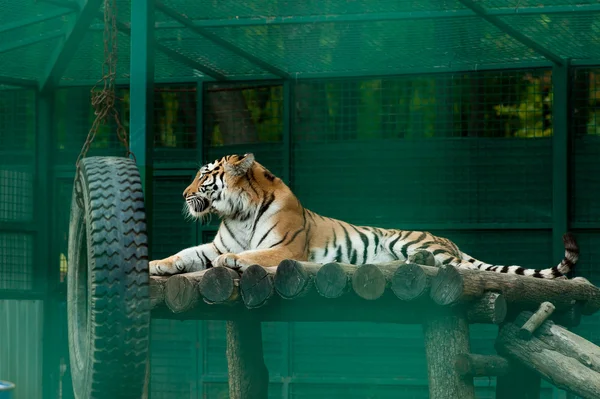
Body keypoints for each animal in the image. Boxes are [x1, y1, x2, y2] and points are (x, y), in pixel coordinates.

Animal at [148, 154, 580, 282]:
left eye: (204, 175)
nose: (183, 194)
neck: (236, 214)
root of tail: (450, 240)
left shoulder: (284, 249)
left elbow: (250, 255)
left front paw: (231, 261)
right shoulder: (211, 243)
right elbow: (186, 254)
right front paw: (156, 264)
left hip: (405, 238)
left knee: (459, 266)